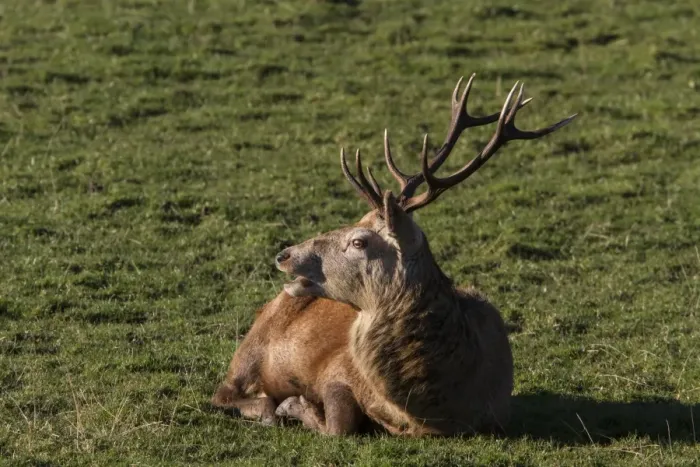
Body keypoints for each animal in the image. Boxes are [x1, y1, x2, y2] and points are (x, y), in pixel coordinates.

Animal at [211, 74, 577, 436]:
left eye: (359, 242)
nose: (284, 254)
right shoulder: (336, 370)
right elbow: (338, 425)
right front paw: (294, 405)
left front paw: (295, 406)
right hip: (250, 350)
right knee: (223, 394)